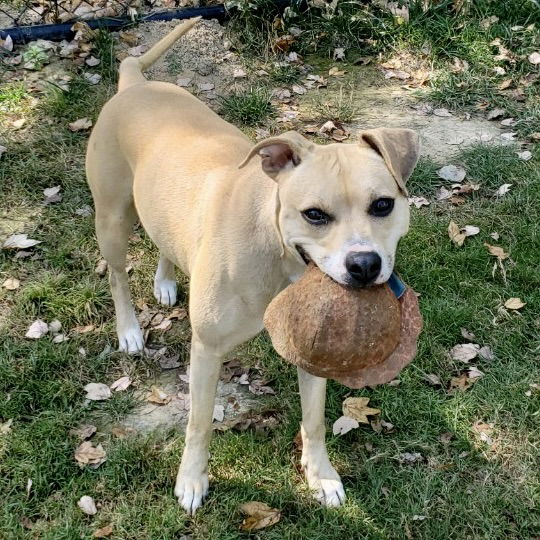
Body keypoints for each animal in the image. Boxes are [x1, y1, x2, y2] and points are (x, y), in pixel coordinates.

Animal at [85, 17, 422, 516]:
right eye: (314, 214)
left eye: (383, 205)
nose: (364, 264)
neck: (277, 253)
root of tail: (133, 83)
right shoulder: (206, 349)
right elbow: (199, 422)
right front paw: (191, 481)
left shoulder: (313, 352)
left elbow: (314, 419)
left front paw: (321, 476)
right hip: (111, 218)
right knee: (116, 275)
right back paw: (128, 329)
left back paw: (165, 281)